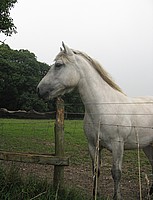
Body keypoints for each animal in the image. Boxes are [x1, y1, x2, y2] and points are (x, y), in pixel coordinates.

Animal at [37, 41, 153, 198]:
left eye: (58, 65)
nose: (39, 90)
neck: (103, 109)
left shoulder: (118, 145)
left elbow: (116, 173)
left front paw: (117, 196)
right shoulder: (93, 145)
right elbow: (95, 170)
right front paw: (95, 193)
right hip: (148, 146)